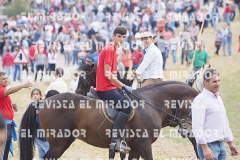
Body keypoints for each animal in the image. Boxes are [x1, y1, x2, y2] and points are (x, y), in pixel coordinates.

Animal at [18, 64, 199, 159]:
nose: (188, 130)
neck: (151, 104)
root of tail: (43, 101)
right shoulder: (144, 145)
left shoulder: (135, 149)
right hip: (58, 143)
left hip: (65, 142)